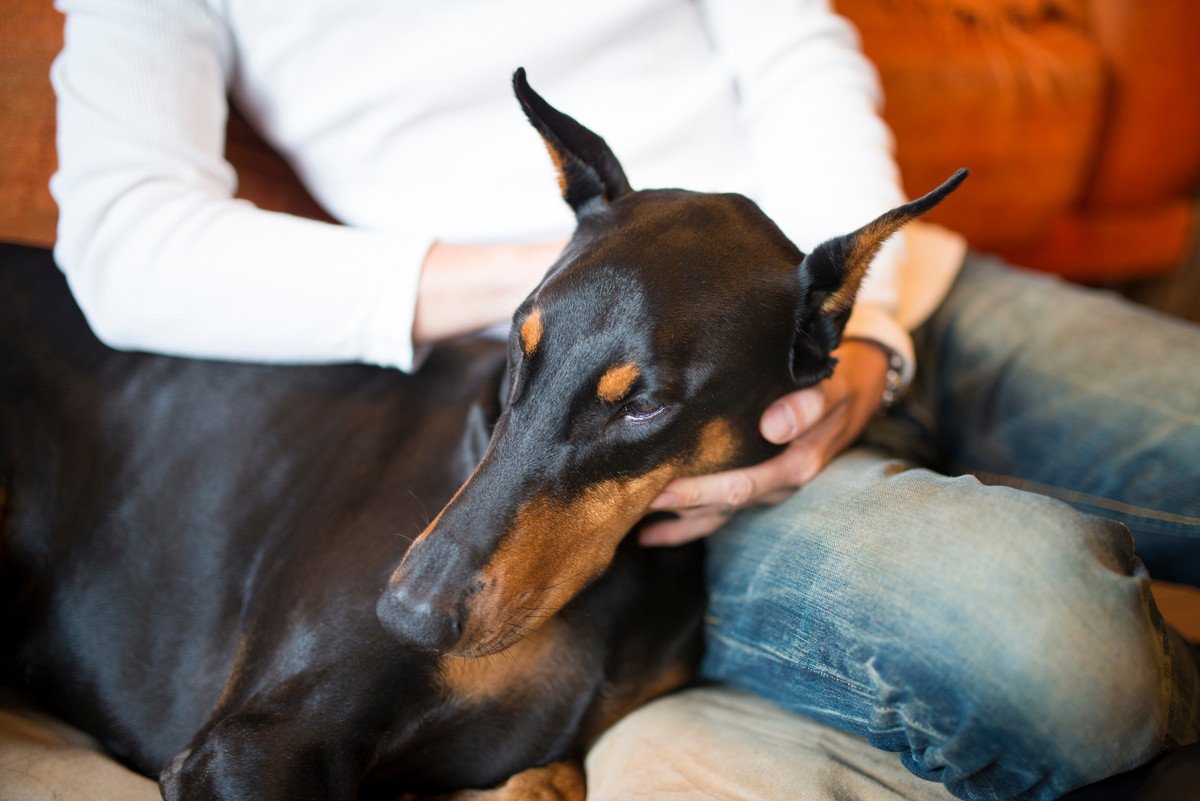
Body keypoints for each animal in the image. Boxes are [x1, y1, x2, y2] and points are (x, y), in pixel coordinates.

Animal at [0, 70, 960, 801]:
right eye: (518, 342)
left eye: (644, 407)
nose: (406, 612)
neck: (618, 583)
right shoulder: (247, 747)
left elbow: (552, 774)